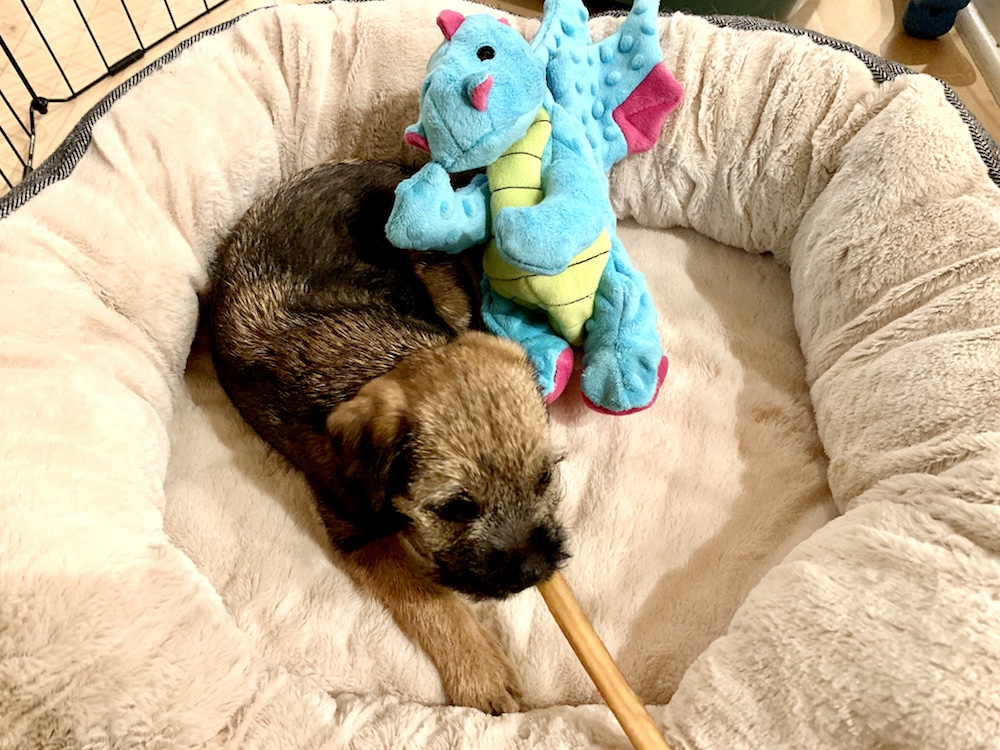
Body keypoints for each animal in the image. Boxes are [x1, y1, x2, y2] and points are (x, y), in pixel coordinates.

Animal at [209, 162, 572, 712]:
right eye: (456, 509)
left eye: (545, 478)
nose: (534, 572)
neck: (386, 356)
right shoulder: (359, 531)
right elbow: (425, 596)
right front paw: (480, 672)